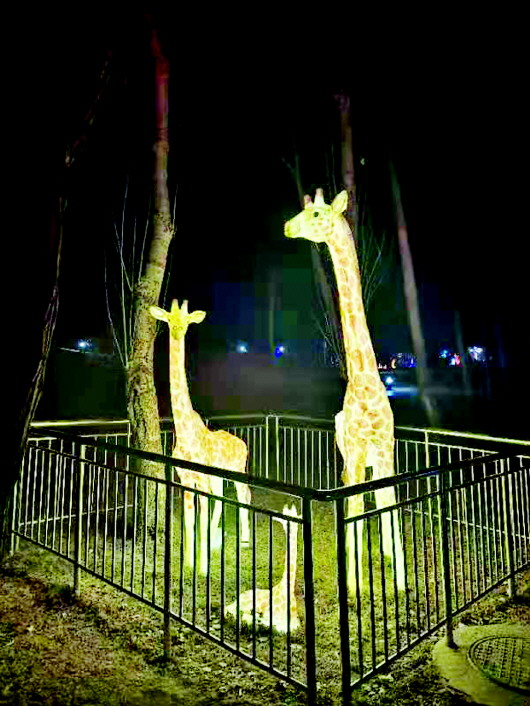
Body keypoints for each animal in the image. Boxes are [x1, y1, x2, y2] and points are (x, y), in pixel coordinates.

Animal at [150, 300, 252, 575]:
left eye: (187, 321)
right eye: (168, 319)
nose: (177, 331)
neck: (185, 433)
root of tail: (244, 444)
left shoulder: (202, 478)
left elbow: (201, 516)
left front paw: (202, 568)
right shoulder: (185, 478)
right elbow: (189, 518)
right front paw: (188, 564)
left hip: (236, 471)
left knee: (245, 494)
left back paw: (245, 541)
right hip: (218, 476)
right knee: (222, 500)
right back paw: (217, 542)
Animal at [284, 190, 406, 594]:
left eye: (316, 214)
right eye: (303, 210)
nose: (288, 226)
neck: (366, 381)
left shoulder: (384, 451)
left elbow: (390, 504)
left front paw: (401, 583)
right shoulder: (355, 454)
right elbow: (353, 511)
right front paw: (354, 586)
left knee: (375, 502)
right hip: (350, 460)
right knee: (356, 503)